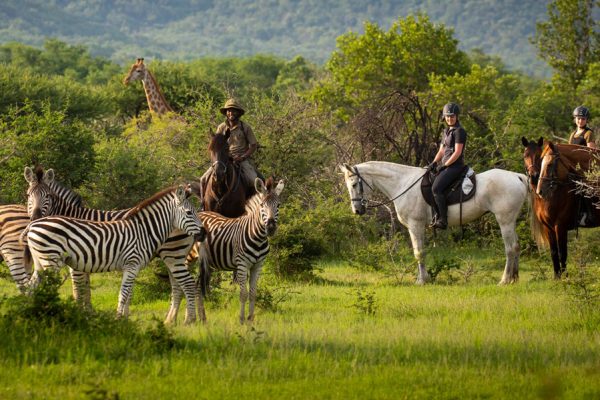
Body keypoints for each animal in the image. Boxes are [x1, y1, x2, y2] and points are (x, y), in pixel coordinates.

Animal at [24, 166, 206, 324]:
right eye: (28, 195)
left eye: (48, 195)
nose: (203, 233)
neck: (144, 229)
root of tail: (33, 226)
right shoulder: (95, 264)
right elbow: (86, 291)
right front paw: (102, 317)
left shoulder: (119, 265)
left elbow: (113, 293)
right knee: (182, 285)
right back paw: (182, 320)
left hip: (173, 255)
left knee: (185, 285)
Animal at [169, 177, 284, 324]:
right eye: (262, 205)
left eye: (278, 205)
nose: (270, 227)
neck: (258, 237)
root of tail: (200, 212)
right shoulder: (242, 264)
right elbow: (243, 294)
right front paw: (241, 320)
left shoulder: (258, 265)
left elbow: (253, 293)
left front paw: (250, 320)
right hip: (187, 257)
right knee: (181, 285)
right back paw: (177, 318)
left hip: (206, 262)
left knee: (196, 287)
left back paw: (202, 319)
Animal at [340, 160, 528, 284]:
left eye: (355, 184)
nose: (357, 210)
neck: (402, 184)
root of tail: (517, 177)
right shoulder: (417, 227)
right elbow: (419, 252)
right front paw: (422, 278)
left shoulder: (415, 225)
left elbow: (419, 252)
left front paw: (422, 281)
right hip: (510, 221)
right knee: (516, 247)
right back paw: (514, 279)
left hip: (504, 221)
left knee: (510, 248)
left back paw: (504, 280)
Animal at [524, 138, 600, 278]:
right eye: (525, 155)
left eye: (549, 164)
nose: (540, 190)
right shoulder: (548, 227)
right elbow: (554, 252)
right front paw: (557, 277)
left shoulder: (560, 226)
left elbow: (562, 253)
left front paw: (565, 278)